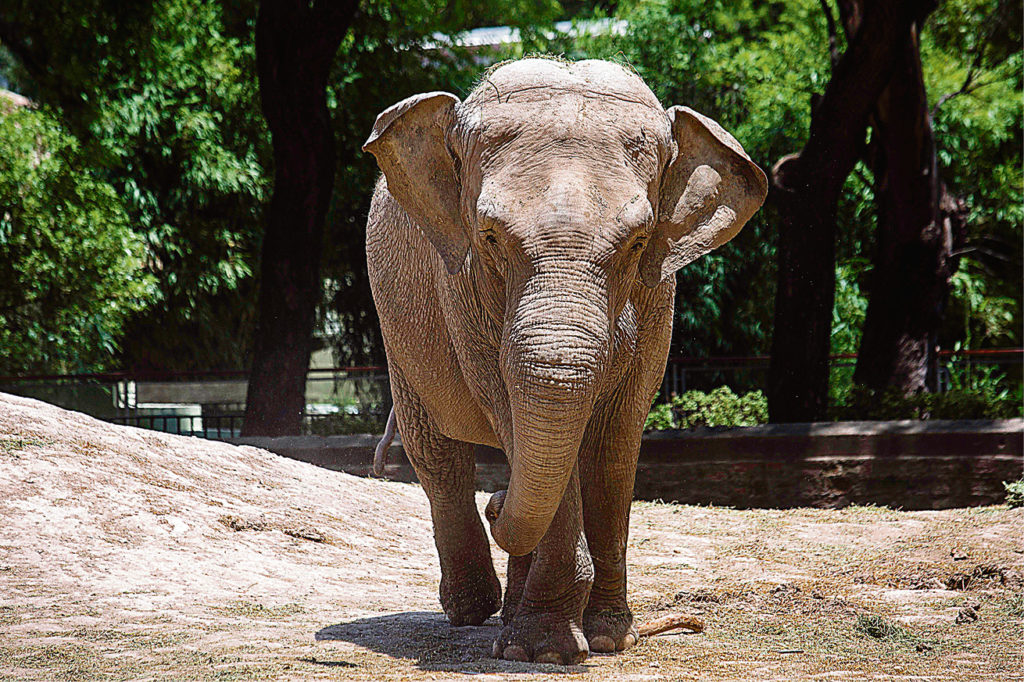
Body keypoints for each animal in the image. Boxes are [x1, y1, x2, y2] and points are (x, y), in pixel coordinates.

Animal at [364, 58, 765, 663]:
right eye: (489, 237)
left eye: (638, 242)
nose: (497, 504)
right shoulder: (463, 289)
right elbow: (509, 406)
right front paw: (545, 652)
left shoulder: (659, 293)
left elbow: (616, 436)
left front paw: (609, 639)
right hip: (398, 329)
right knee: (436, 452)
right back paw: (474, 610)